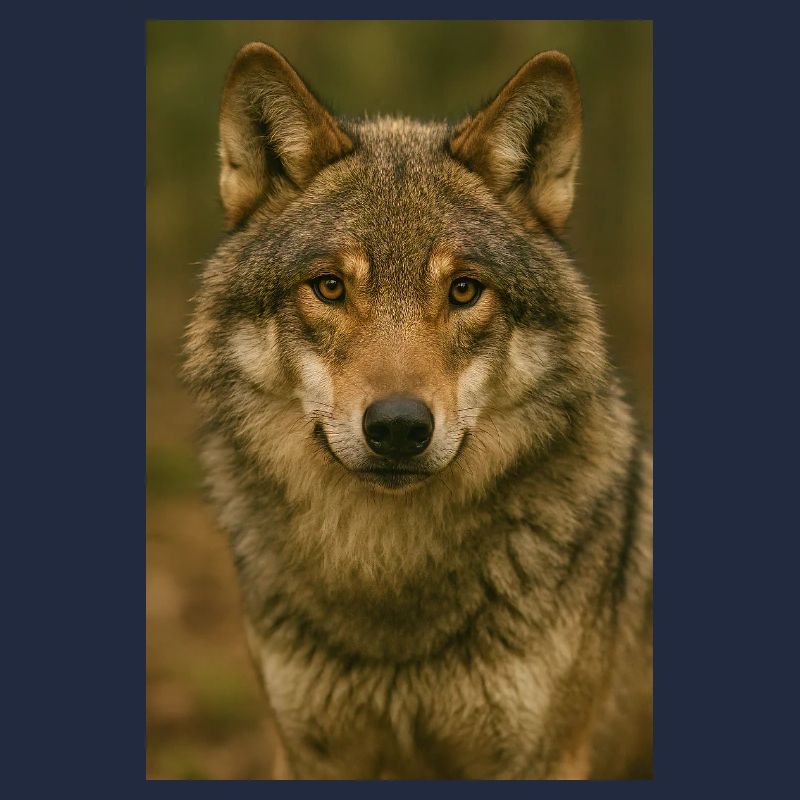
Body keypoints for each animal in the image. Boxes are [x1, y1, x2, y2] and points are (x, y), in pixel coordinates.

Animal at [183, 42, 652, 780]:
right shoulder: (311, 753)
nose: (399, 427)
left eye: (464, 290)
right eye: (329, 287)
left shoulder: (545, 757)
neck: (390, 578)